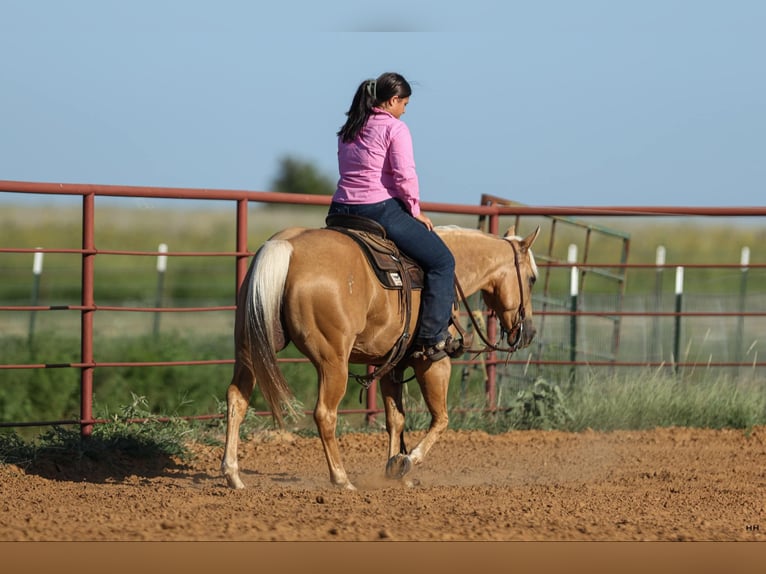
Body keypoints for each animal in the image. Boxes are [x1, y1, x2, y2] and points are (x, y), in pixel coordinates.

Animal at [222, 224, 544, 490]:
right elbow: (441, 419)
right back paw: (341, 478)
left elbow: (396, 419)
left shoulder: (393, 366)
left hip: (250, 348)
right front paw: (407, 461)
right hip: (332, 362)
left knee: (237, 398)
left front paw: (394, 470)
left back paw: (233, 474)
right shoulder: (434, 362)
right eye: (531, 279)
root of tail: (286, 247)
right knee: (325, 414)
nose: (528, 332)